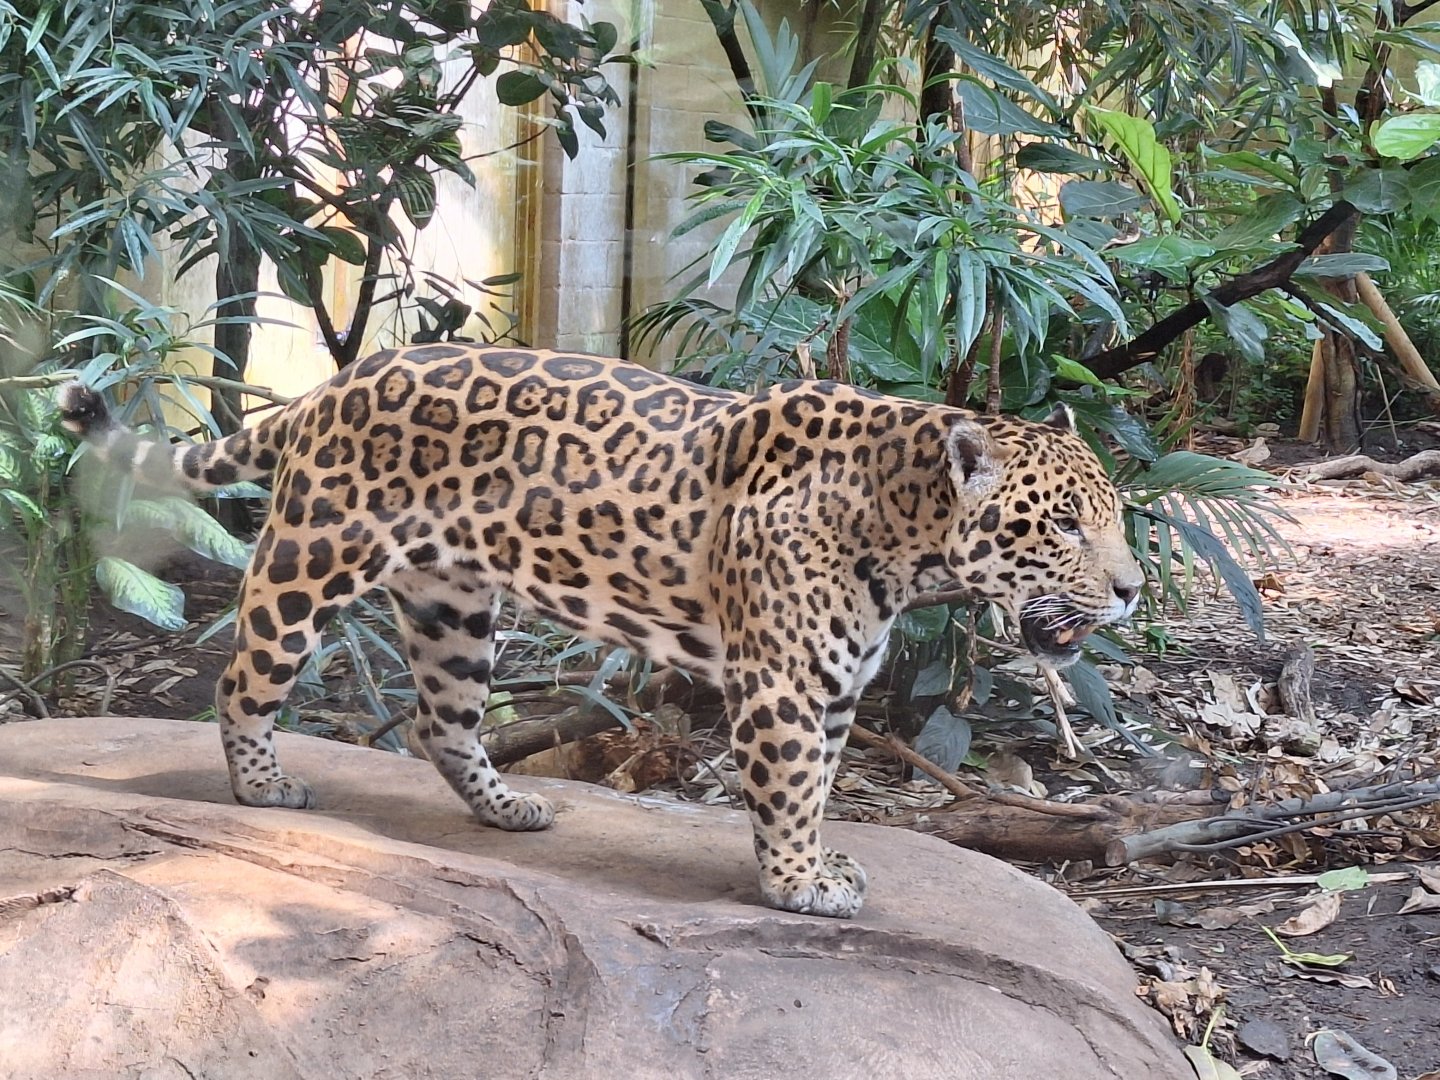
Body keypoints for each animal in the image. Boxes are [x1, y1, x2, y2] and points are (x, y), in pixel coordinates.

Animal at [60, 344, 1143, 919]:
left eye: (1117, 519)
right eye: (1062, 525)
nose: (1134, 589)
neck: (904, 528)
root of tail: (339, 379)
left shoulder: (835, 685)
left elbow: (823, 788)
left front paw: (819, 862)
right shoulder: (786, 686)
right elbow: (792, 789)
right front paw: (797, 884)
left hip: (455, 607)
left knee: (441, 721)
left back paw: (509, 808)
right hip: (311, 560)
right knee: (243, 673)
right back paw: (262, 785)